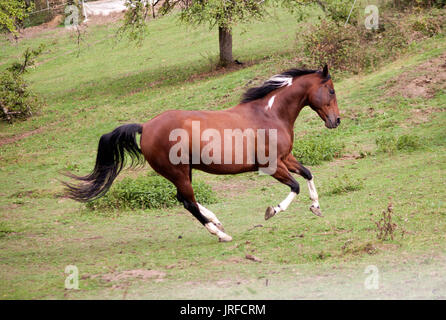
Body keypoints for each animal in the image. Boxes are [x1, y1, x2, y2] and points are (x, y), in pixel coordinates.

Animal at [64, 63, 340, 241]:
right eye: (332, 90)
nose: (336, 120)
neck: (269, 115)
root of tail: (146, 127)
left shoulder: (286, 158)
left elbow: (307, 173)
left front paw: (316, 207)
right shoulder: (272, 165)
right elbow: (295, 186)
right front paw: (272, 211)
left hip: (184, 171)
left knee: (186, 200)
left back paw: (216, 221)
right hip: (178, 173)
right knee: (188, 202)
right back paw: (221, 234)